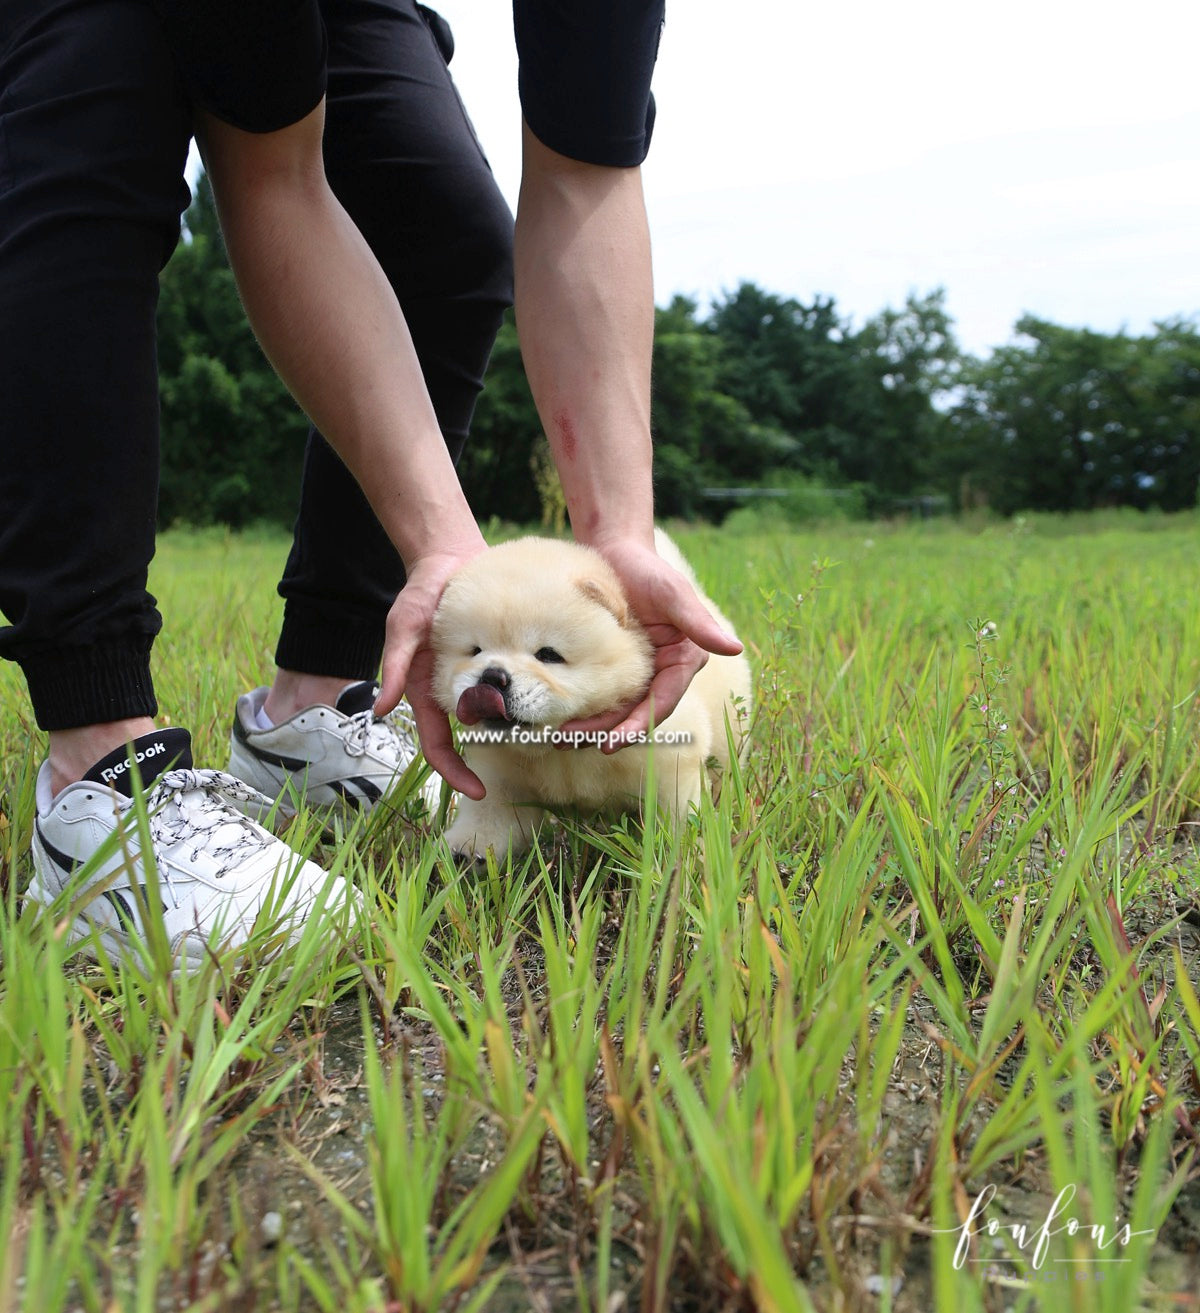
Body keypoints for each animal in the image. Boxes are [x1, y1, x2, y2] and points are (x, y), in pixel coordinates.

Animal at [430, 527, 745, 856]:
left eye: (548, 655)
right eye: (475, 650)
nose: (491, 677)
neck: (557, 754)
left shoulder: (673, 765)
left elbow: (677, 817)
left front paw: (682, 854)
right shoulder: (498, 774)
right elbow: (490, 813)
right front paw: (465, 848)